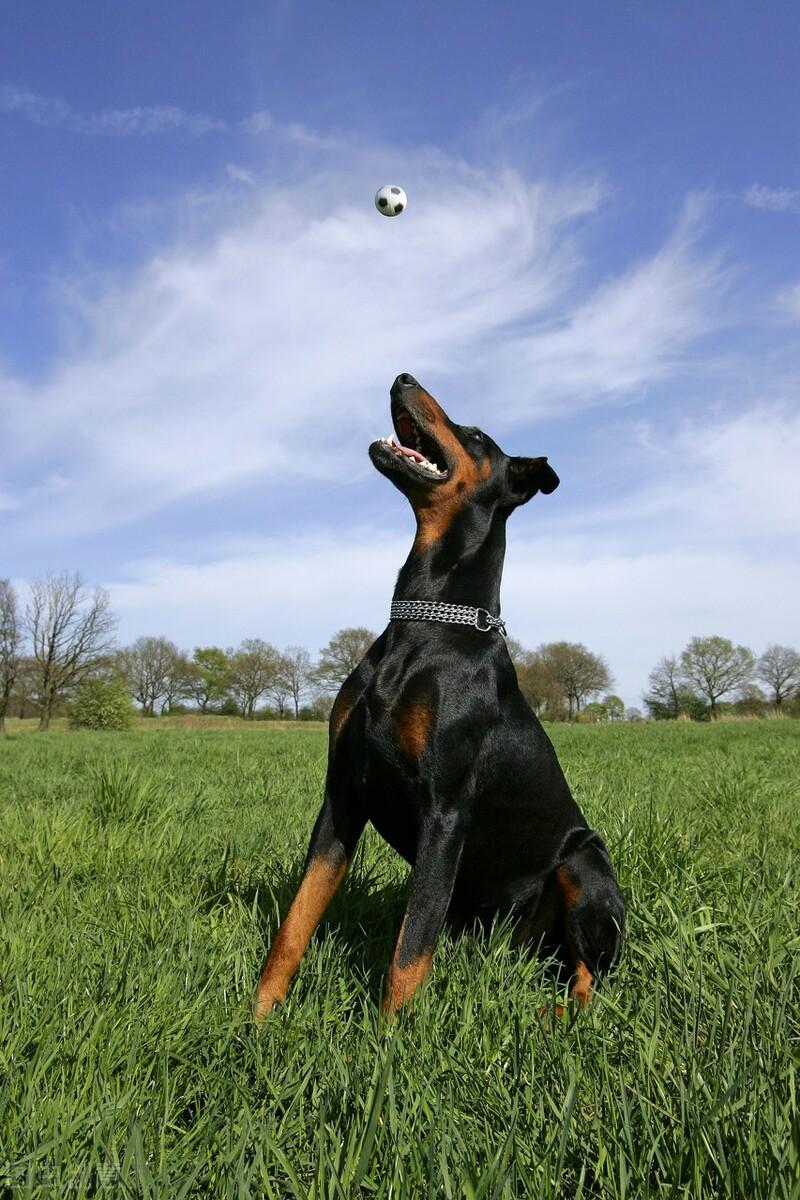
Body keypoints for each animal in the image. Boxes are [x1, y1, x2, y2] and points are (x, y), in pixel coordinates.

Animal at [256, 369, 623, 1017]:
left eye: (474, 435)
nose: (402, 376)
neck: (424, 623)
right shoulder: (342, 795)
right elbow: (295, 923)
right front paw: (255, 1019)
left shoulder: (445, 811)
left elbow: (408, 954)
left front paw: (386, 1042)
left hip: (585, 861)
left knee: (591, 973)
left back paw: (556, 1018)